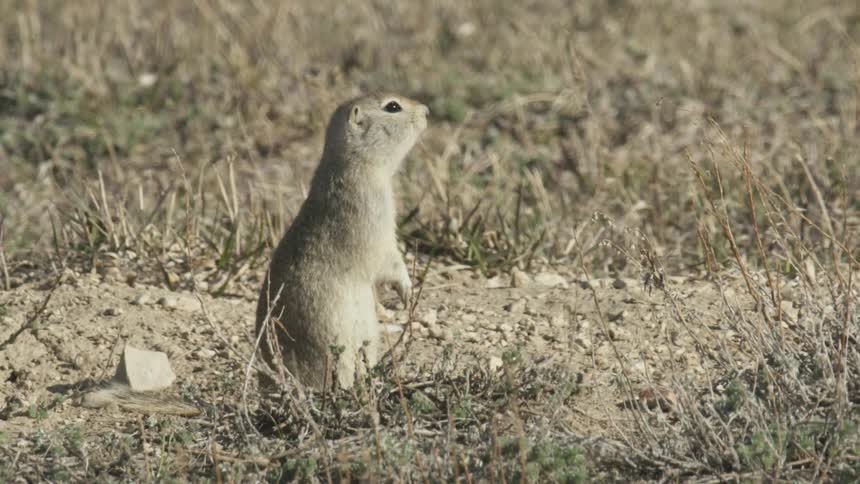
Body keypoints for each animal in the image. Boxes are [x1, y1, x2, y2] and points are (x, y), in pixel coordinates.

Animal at [255, 93, 429, 390]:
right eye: (393, 106)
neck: (356, 164)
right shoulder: (375, 226)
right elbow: (390, 262)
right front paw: (407, 290)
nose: (427, 111)